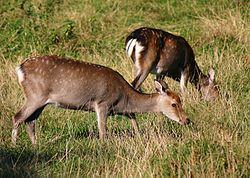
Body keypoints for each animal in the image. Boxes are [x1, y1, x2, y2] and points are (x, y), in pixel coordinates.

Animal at [11, 55, 188, 145]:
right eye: (174, 103)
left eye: (181, 100)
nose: (187, 120)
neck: (125, 98)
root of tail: (19, 69)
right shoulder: (102, 103)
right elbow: (103, 131)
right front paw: (104, 148)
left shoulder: (122, 110)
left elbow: (133, 118)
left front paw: (139, 137)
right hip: (35, 95)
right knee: (17, 117)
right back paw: (15, 146)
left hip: (41, 101)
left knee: (30, 121)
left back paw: (35, 146)